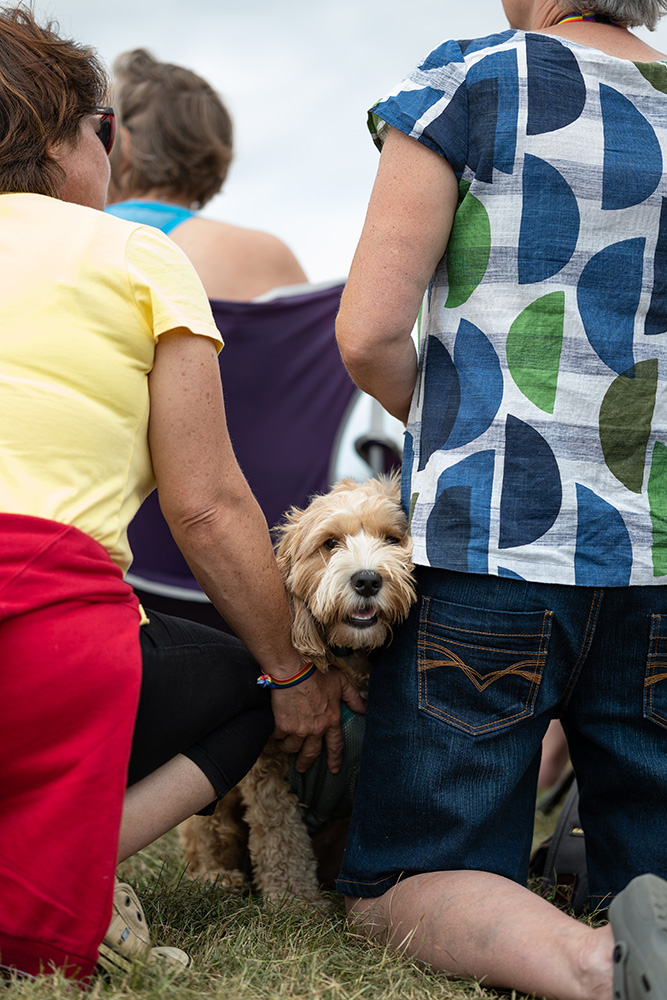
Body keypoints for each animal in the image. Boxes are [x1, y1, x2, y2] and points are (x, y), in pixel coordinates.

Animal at [180, 476, 414, 908]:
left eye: (392, 539)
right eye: (331, 543)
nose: (367, 580)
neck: (348, 657)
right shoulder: (268, 769)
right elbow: (281, 837)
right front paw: (295, 901)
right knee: (205, 839)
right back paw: (216, 878)